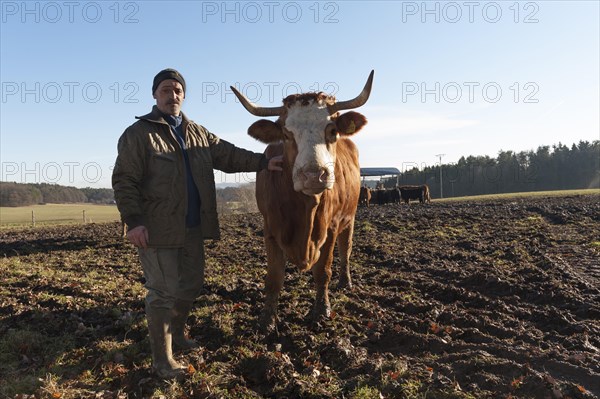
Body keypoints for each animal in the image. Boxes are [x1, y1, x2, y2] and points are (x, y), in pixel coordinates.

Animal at [231, 71, 376, 332]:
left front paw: (321, 310)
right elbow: (274, 278)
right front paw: (267, 320)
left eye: (332, 130)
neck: (303, 209)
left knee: (346, 249)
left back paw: (345, 281)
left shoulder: (330, 227)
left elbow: (323, 271)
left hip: (349, 218)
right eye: (286, 134)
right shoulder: (270, 229)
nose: (313, 175)